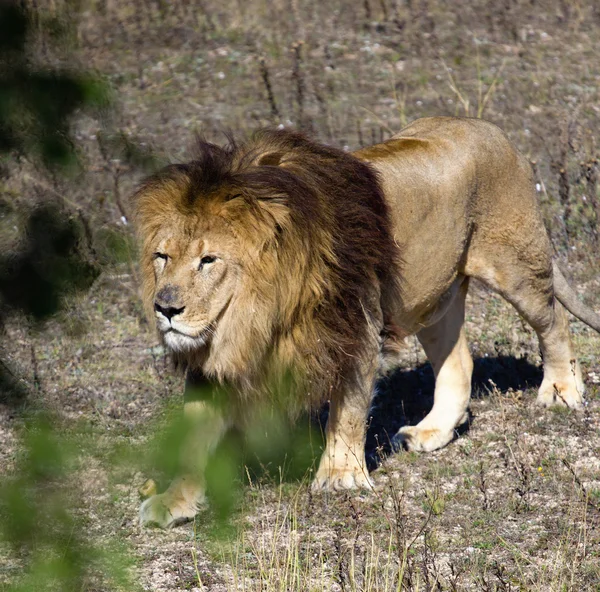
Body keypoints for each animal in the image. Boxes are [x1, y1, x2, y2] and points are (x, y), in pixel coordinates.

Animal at [136, 115, 600, 528]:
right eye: (162, 257)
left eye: (208, 260)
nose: (166, 308)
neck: (255, 318)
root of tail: (491, 129)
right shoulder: (209, 360)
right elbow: (192, 441)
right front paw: (174, 501)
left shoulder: (356, 327)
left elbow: (349, 410)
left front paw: (340, 476)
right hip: (433, 299)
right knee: (459, 360)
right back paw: (431, 431)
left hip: (515, 266)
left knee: (554, 321)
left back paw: (561, 391)